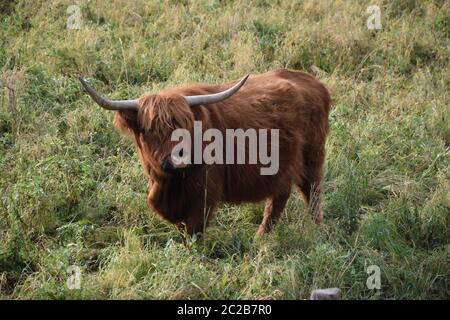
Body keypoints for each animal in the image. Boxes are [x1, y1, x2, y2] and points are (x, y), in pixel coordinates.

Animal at [78, 69, 330, 238]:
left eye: (185, 125)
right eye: (151, 129)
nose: (178, 157)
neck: (170, 184)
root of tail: (313, 82)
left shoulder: (204, 195)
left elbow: (194, 232)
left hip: (312, 156)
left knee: (312, 191)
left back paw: (313, 229)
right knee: (281, 195)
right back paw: (262, 237)